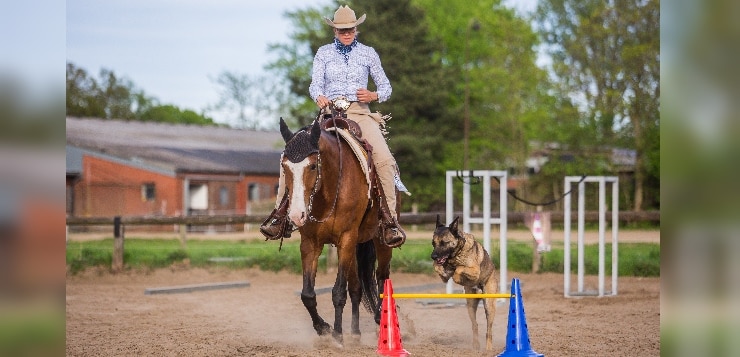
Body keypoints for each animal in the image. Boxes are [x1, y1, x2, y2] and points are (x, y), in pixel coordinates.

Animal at [276, 117, 394, 344]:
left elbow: (338, 291)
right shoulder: (310, 243)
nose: (296, 215)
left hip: (380, 241)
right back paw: (355, 332)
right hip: (355, 246)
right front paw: (323, 328)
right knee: (356, 287)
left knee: (382, 276)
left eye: (313, 166)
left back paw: (379, 320)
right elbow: (308, 294)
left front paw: (338, 334)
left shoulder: (345, 239)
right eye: (284, 166)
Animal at [430, 214, 500, 350]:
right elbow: (438, 268)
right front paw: (442, 269)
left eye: (444, 243)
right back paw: (476, 345)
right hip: (470, 306)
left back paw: (488, 348)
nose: (433, 256)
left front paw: (457, 277)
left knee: (489, 330)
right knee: (475, 325)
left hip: (489, 305)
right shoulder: (443, 270)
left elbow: (459, 268)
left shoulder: (474, 270)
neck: (455, 255)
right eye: (433, 243)